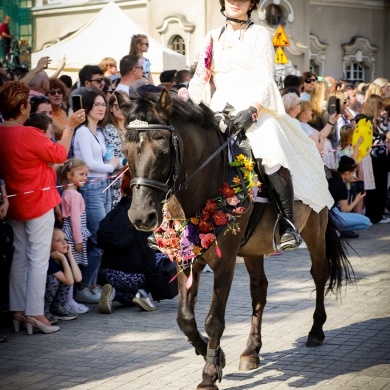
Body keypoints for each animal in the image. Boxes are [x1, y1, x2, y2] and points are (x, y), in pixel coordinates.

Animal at [121, 89, 354, 390]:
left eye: (163, 152)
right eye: (125, 152)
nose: (141, 216)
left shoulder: (225, 262)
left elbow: (214, 320)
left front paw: (209, 374)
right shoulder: (186, 259)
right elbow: (185, 318)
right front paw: (216, 356)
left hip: (314, 229)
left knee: (319, 273)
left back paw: (315, 331)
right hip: (254, 248)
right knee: (259, 290)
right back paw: (251, 351)